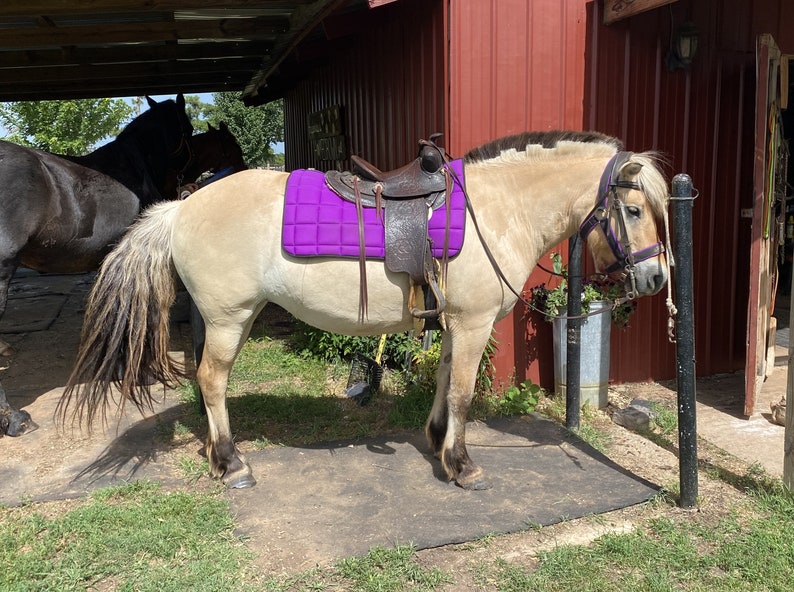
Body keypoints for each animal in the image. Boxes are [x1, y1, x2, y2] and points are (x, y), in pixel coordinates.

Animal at [60, 130, 670, 490]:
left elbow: (443, 382)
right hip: (231, 317)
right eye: (635, 210)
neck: (497, 209)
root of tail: (180, 209)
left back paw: (216, 455)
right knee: (212, 380)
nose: (656, 278)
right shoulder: (472, 324)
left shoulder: (452, 323)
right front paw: (462, 465)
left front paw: (436, 442)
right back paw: (232, 464)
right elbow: (464, 393)